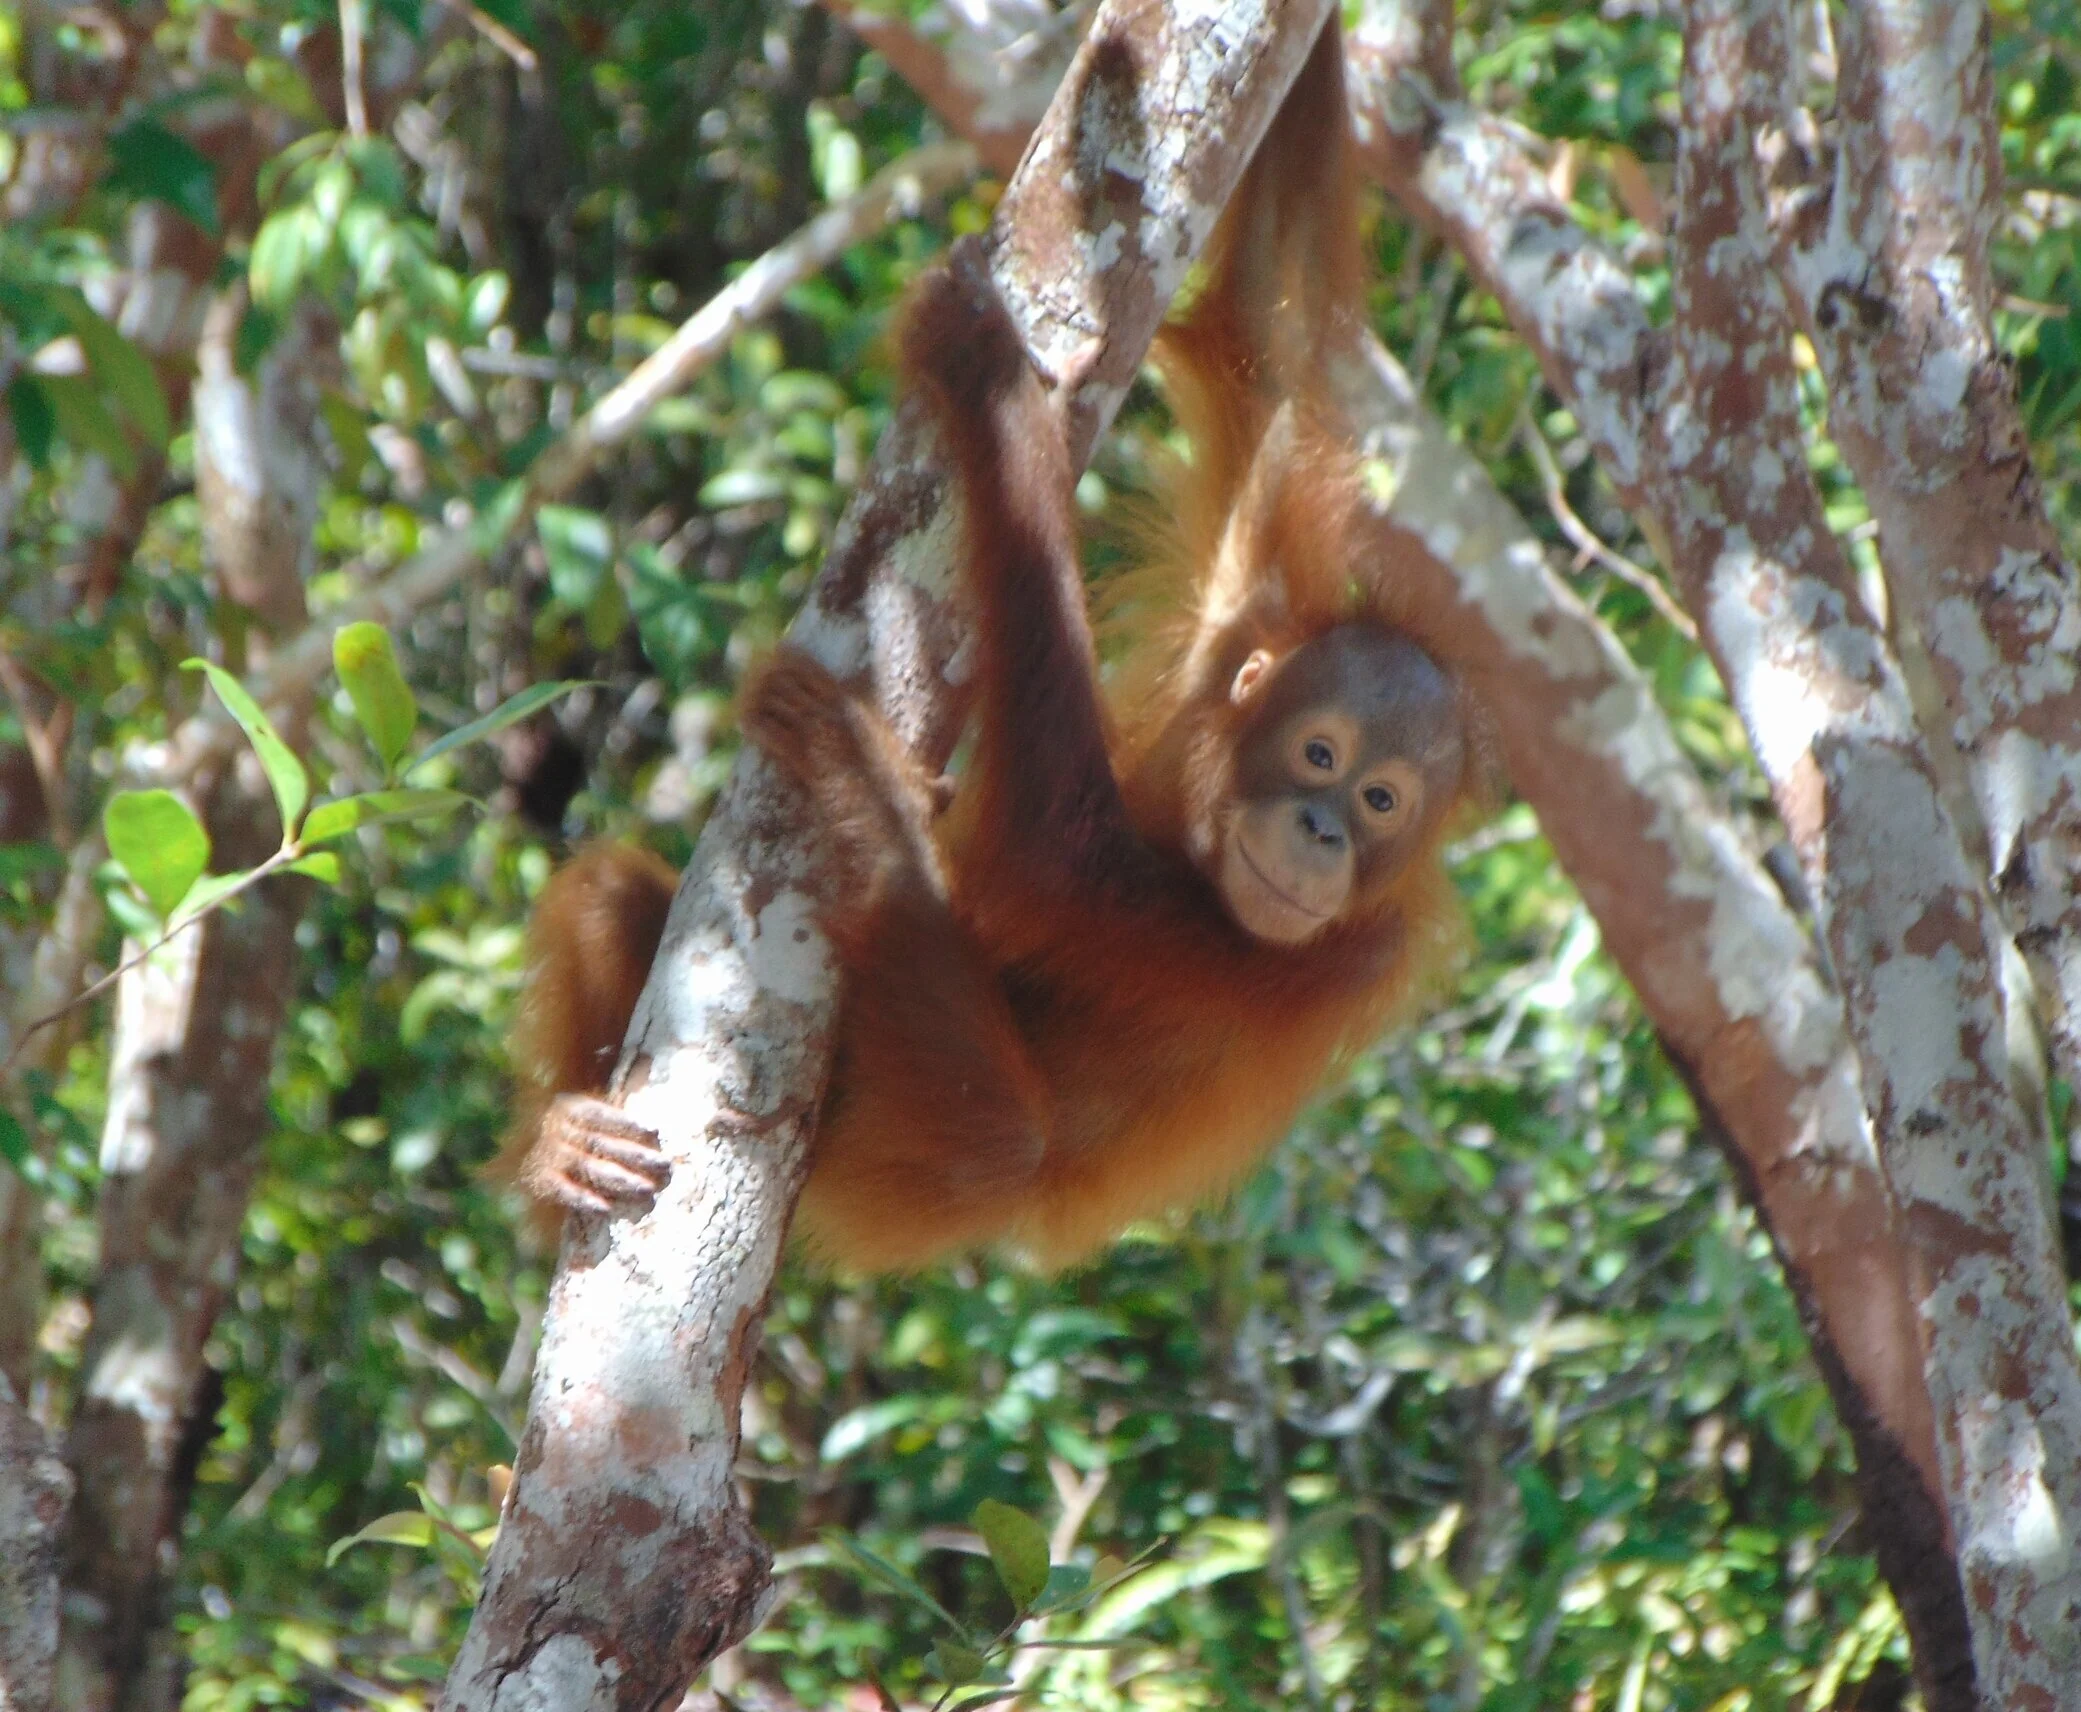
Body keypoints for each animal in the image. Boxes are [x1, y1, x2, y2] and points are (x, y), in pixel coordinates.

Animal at [495, 18, 1487, 1271]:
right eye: (1320, 756)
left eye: (1381, 803)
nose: (1320, 830)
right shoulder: (1248, 602)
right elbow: (1270, 304)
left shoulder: (1326, 957)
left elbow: (1054, 856)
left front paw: (993, 383)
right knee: (612, 892)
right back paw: (557, 1158)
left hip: (916, 1171)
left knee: (996, 1140)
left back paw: (867, 798)